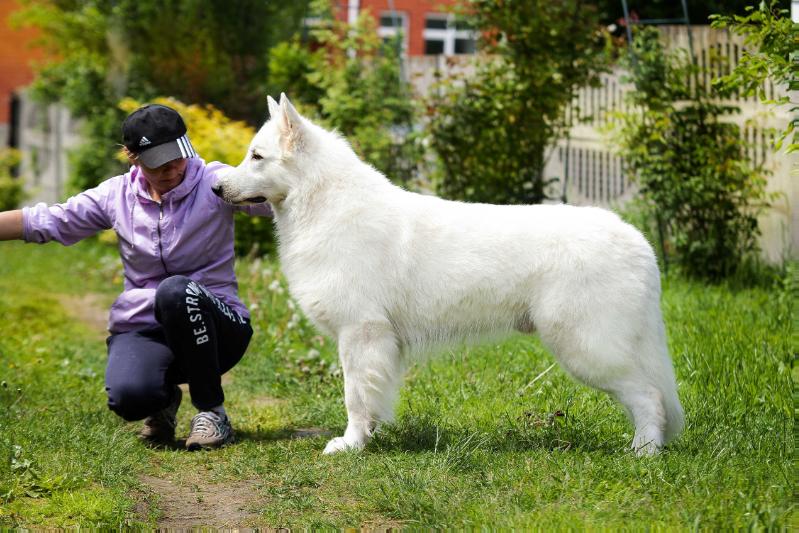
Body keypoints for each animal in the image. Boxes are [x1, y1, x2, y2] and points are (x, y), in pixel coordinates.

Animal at [216, 93, 684, 456]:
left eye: (257, 157)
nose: (217, 188)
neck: (324, 203)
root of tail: (638, 242)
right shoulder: (376, 343)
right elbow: (372, 397)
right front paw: (369, 438)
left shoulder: (360, 333)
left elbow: (355, 397)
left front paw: (350, 445)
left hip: (586, 346)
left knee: (650, 396)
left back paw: (643, 452)